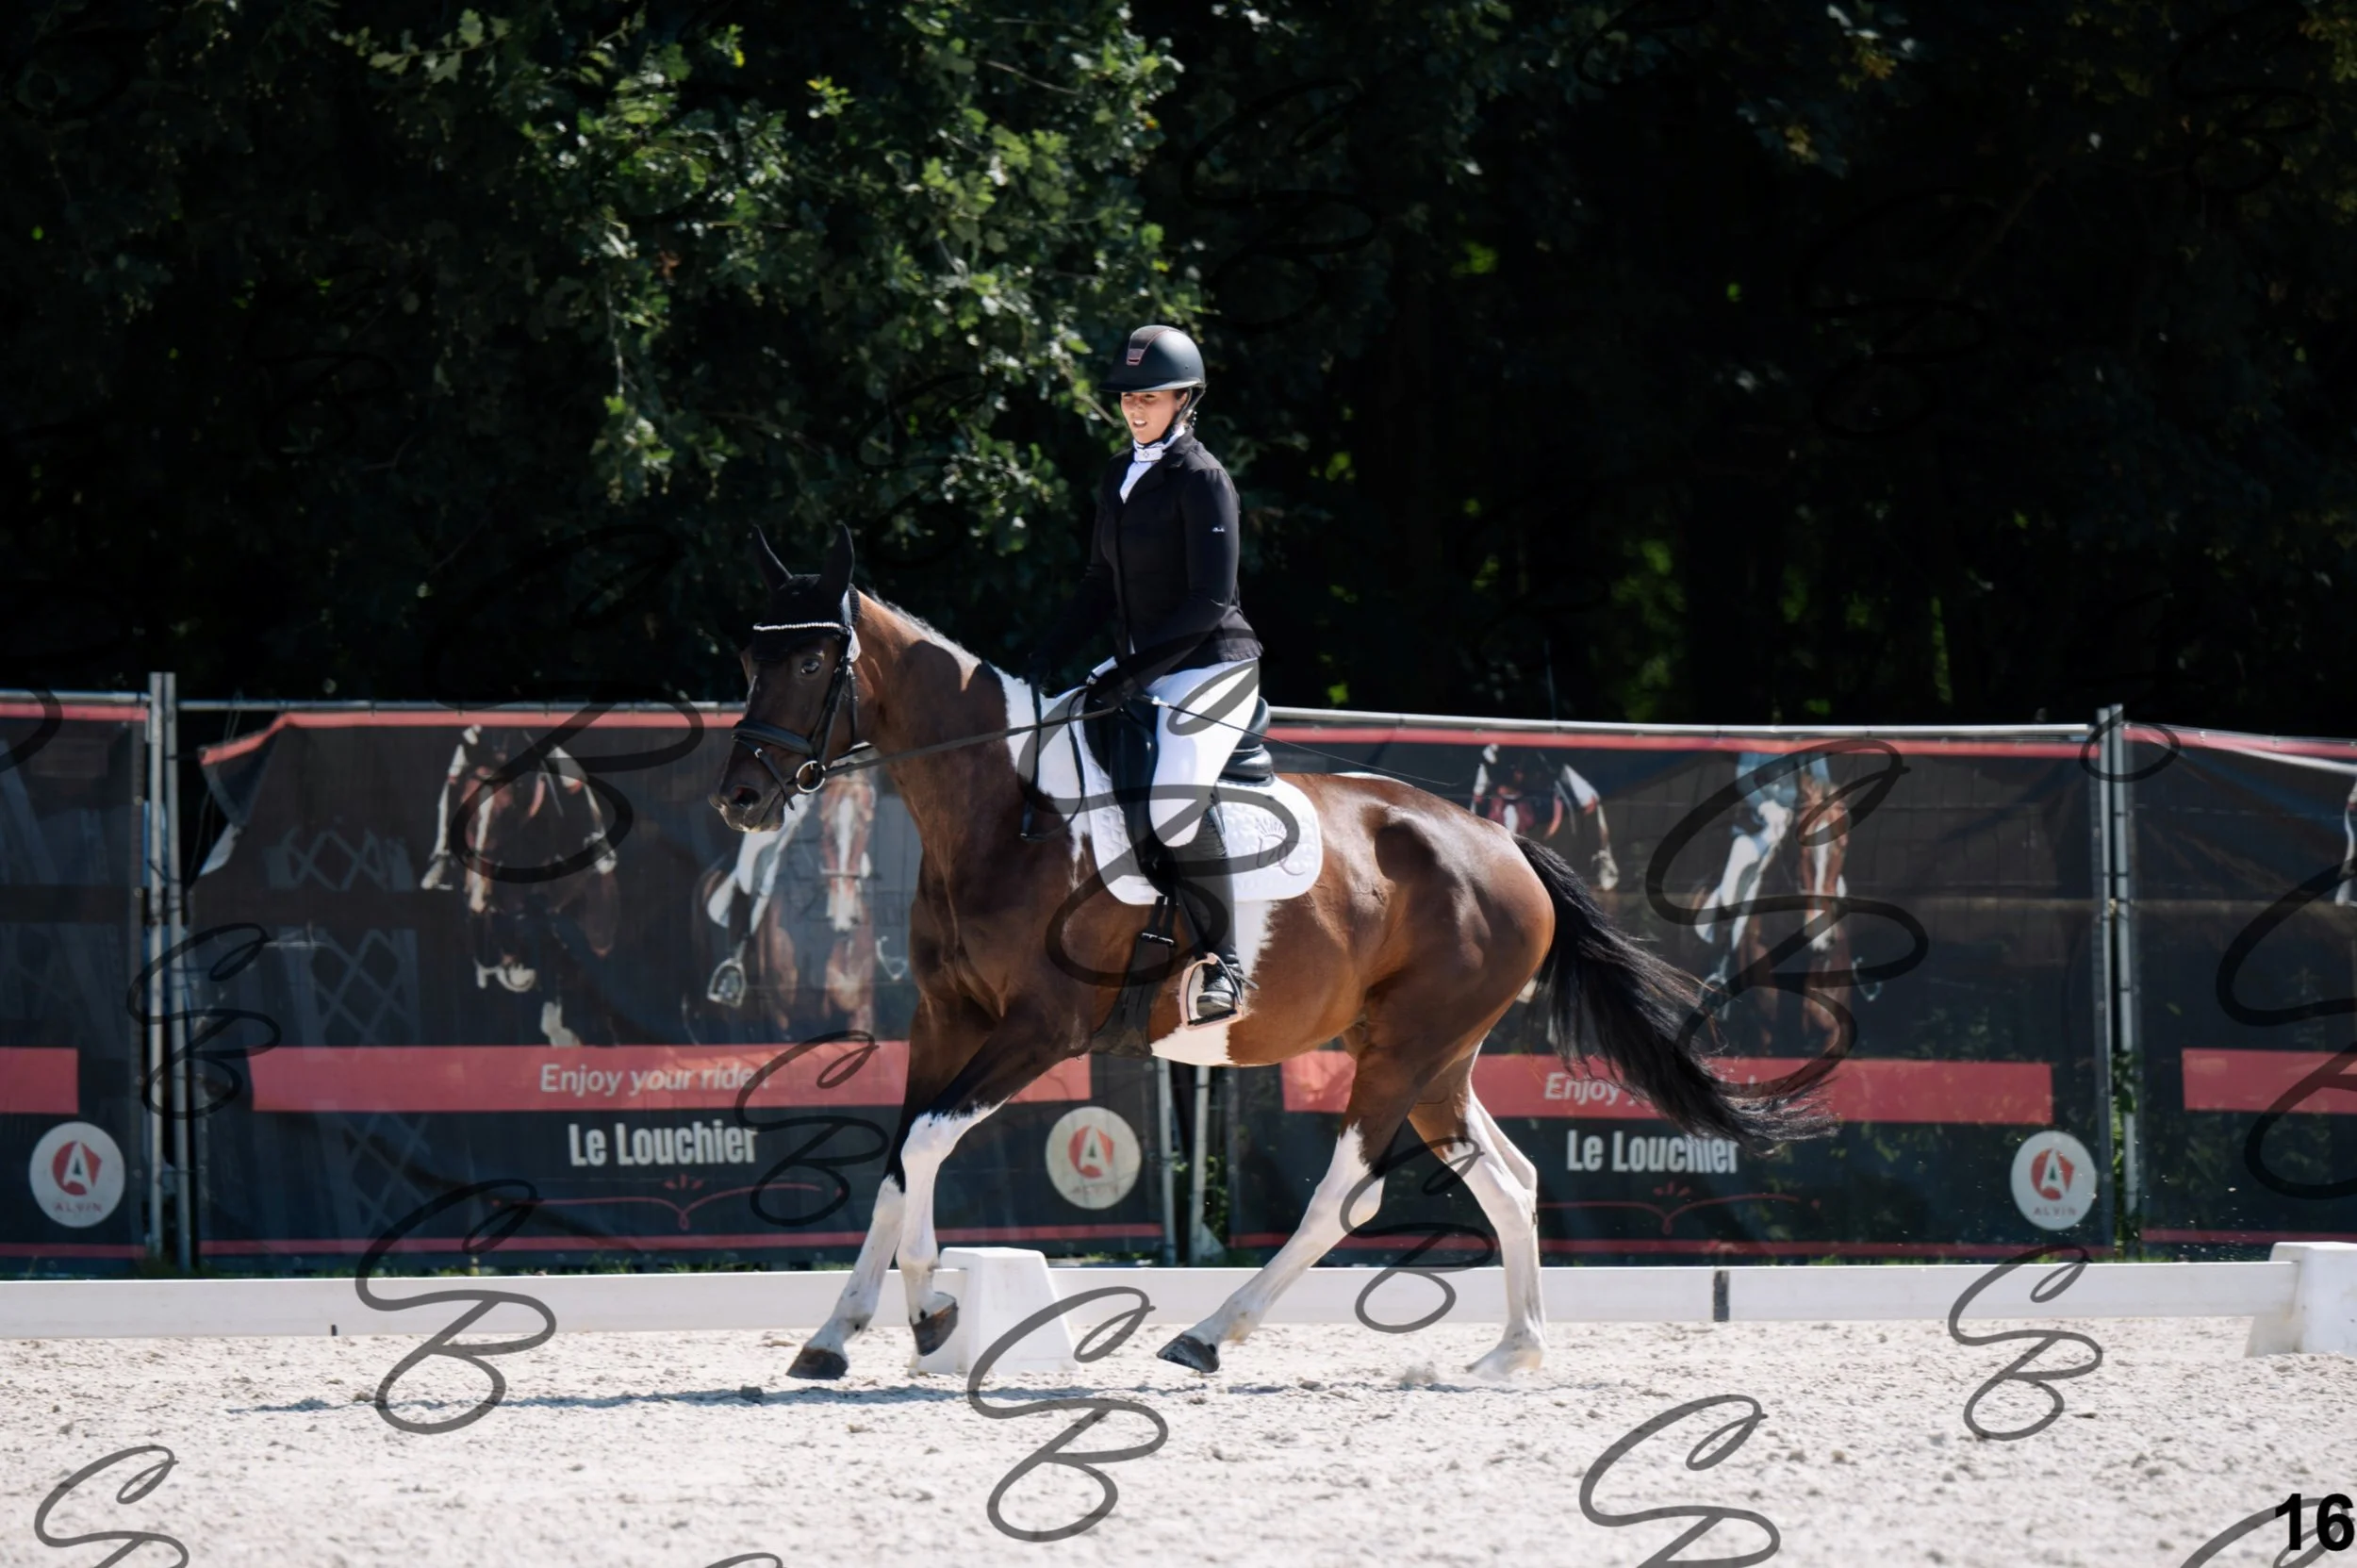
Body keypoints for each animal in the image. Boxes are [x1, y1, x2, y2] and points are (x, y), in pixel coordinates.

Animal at [709, 526, 1820, 1380]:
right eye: (750, 662)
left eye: (812, 663)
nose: (742, 798)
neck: (1005, 812)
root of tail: (1506, 849)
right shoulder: (946, 1018)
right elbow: (900, 1157)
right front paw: (837, 1334)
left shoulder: (1041, 1030)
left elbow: (928, 1144)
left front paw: (933, 1311)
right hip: (1433, 1056)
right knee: (1508, 1181)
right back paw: (1508, 1354)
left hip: (1404, 1051)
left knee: (1346, 1195)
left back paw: (1207, 1335)